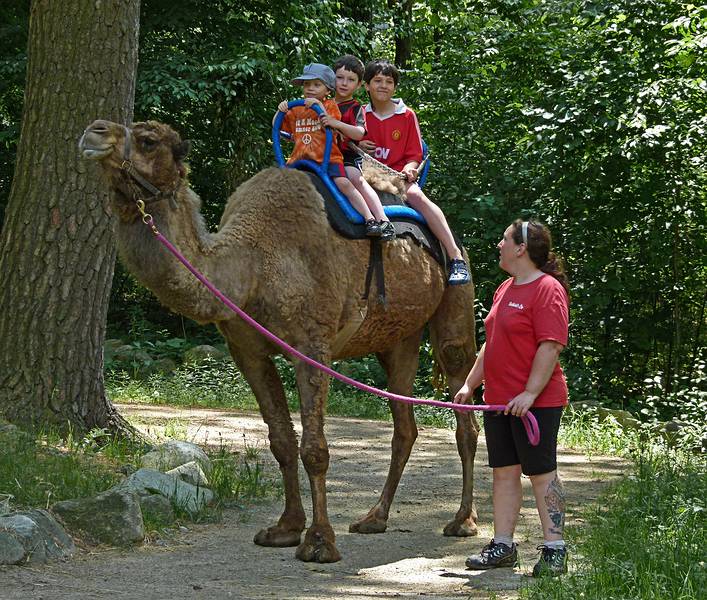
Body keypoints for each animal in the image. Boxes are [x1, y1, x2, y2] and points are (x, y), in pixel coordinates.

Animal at [81, 118, 482, 564]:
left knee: (464, 411)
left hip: (454, 310)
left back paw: (463, 521)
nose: (94, 131)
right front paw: (286, 528)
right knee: (405, 424)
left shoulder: (313, 343)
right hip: (398, 339)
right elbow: (282, 441)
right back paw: (374, 518)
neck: (253, 263)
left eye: (148, 140)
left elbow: (315, 449)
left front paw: (320, 542)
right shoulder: (247, 350)